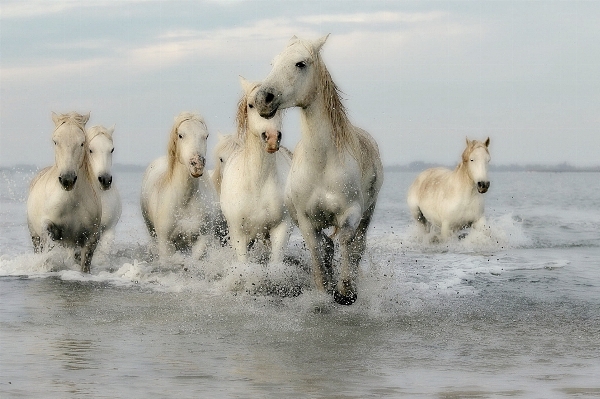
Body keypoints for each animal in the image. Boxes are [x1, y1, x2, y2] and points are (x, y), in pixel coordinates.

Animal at [27, 113, 101, 276]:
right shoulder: (47, 228)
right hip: (35, 237)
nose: (67, 179)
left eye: (82, 143)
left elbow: (84, 266)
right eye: (55, 141)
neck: (70, 201)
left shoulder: (90, 239)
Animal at [139, 112, 226, 260]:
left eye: (206, 136)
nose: (197, 164)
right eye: (180, 135)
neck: (186, 199)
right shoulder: (166, 244)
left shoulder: (202, 239)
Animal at [254, 36, 384, 306]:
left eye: (300, 63)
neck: (322, 164)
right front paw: (325, 289)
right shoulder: (305, 219)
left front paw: (346, 291)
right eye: (274, 62)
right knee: (327, 245)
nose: (263, 99)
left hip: (368, 213)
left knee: (356, 246)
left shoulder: (352, 212)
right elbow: (317, 248)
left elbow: (345, 241)